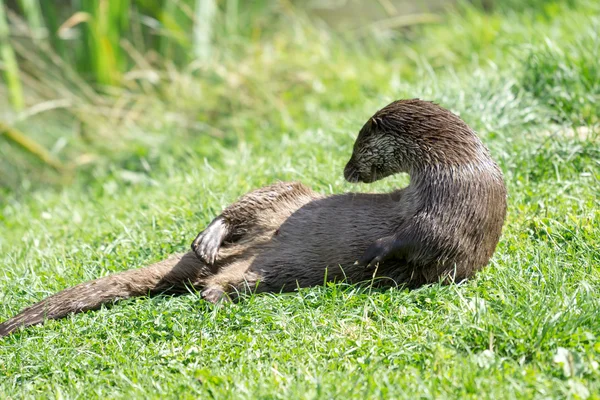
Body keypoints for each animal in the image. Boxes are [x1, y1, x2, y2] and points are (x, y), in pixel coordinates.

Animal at [0, 98, 506, 336]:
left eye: (356, 147)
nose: (345, 169)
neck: (455, 169)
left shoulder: (458, 214)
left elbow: (425, 238)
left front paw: (375, 252)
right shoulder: (452, 201)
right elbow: (415, 235)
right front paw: (375, 248)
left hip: (267, 270)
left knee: (222, 280)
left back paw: (217, 296)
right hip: (286, 197)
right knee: (244, 206)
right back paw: (208, 240)